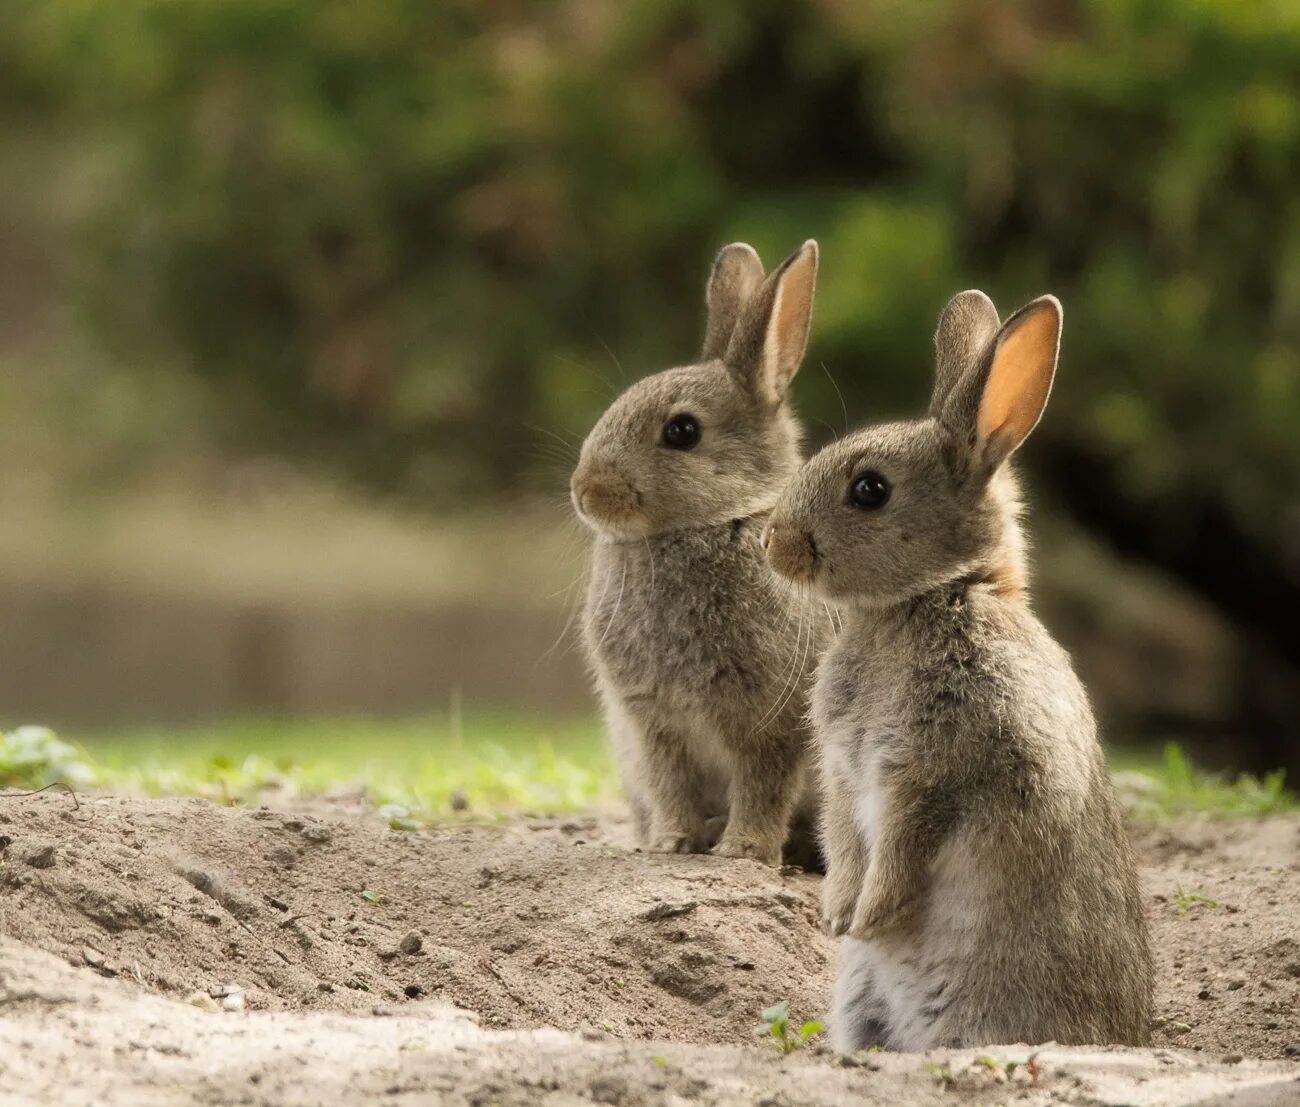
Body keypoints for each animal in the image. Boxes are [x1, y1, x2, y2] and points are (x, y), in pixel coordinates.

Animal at [572, 240, 832, 862]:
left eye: (683, 432)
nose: (584, 491)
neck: (712, 523)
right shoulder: (654, 724)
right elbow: (672, 783)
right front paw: (671, 843)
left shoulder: (770, 721)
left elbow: (763, 785)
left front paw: (743, 850)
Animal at [759, 287, 1149, 1044]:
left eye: (870, 489)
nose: (774, 542)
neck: (930, 596)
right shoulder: (845, 771)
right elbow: (843, 834)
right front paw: (838, 914)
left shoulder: (939, 765)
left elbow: (906, 840)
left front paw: (869, 914)